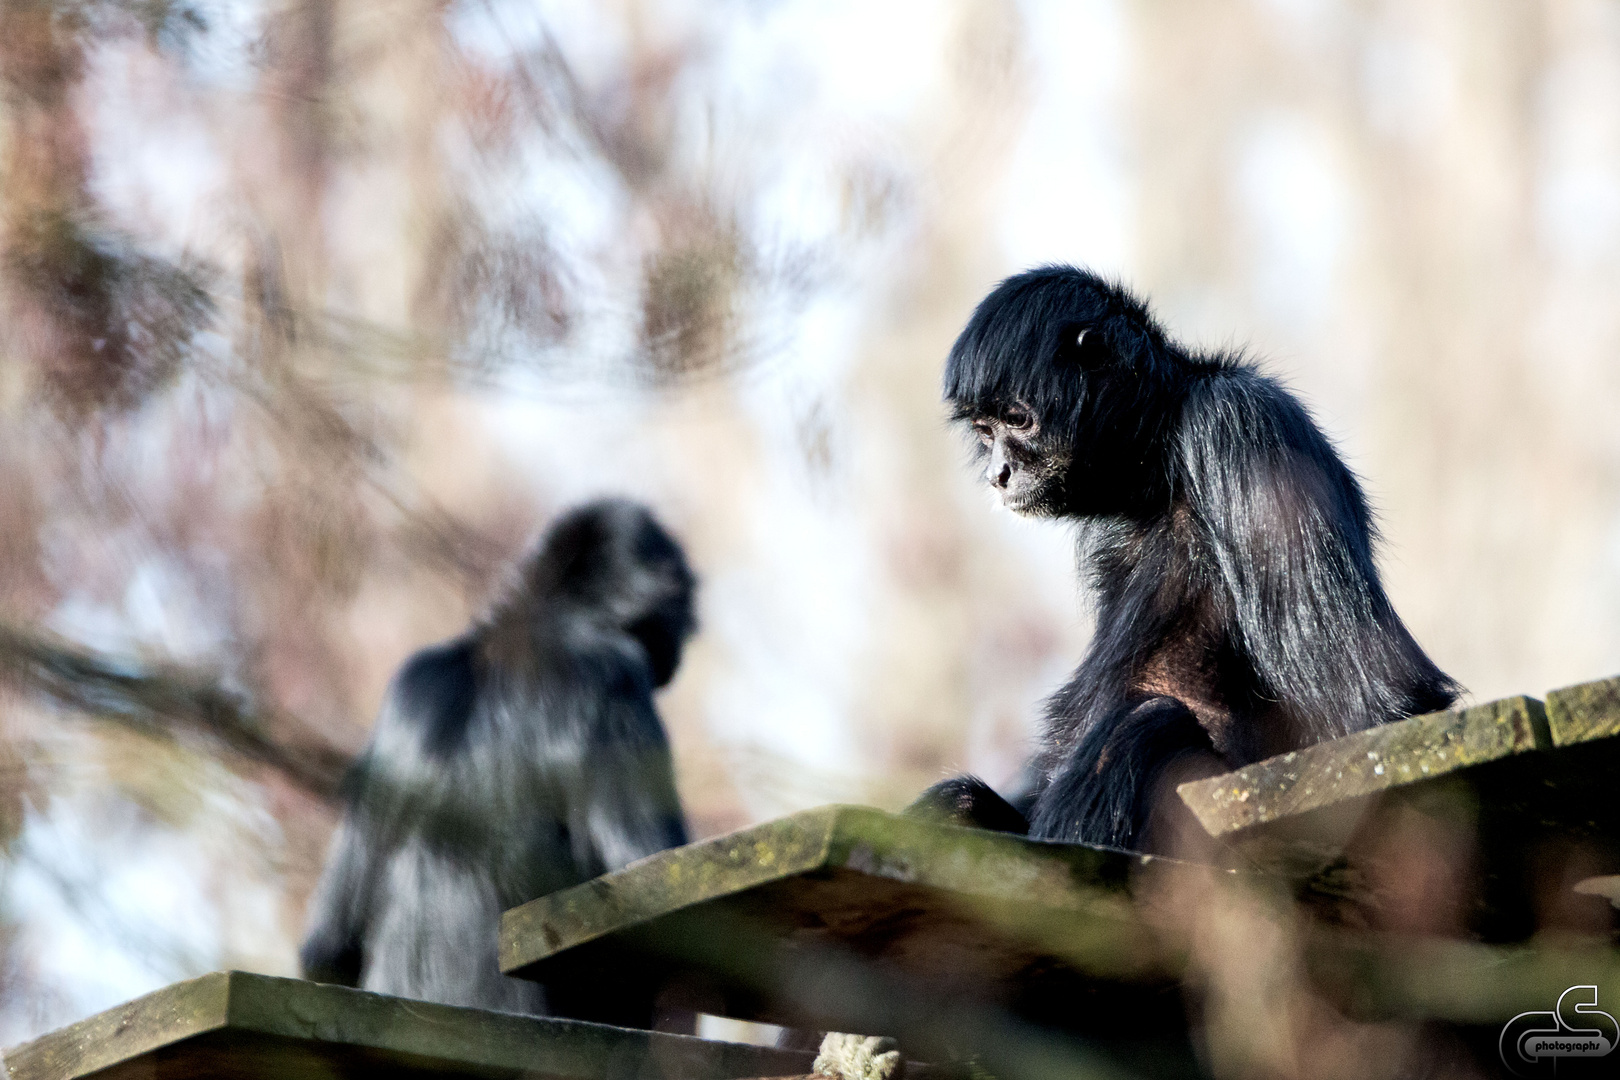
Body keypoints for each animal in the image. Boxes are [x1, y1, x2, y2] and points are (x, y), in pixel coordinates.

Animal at [913, 268, 1458, 854]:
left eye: (1018, 420)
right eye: (984, 432)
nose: (999, 474)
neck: (1164, 450)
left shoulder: (1237, 424)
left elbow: (1383, 706)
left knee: (1151, 722)